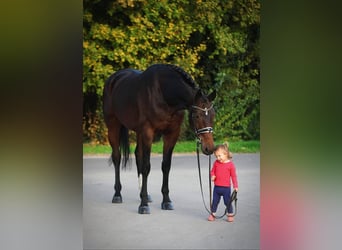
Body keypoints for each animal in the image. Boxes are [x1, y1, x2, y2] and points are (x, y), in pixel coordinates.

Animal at [102, 63, 216, 214]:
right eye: (197, 116)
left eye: (213, 115)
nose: (209, 147)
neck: (164, 93)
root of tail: (113, 79)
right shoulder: (148, 132)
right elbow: (146, 166)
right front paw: (143, 205)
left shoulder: (171, 134)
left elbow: (166, 166)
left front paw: (166, 201)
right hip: (113, 126)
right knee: (117, 157)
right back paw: (117, 194)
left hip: (138, 132)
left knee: (138, 155)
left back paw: (143, 194)